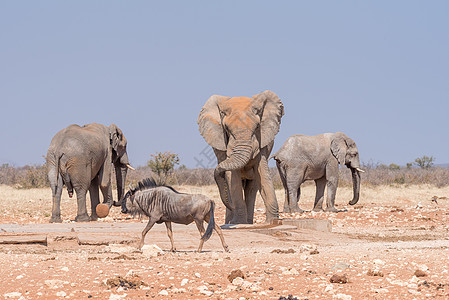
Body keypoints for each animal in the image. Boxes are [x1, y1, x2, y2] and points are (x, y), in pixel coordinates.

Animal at [197, 90, 284, 224]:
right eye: (226, 128)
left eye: (257, 127)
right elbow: (232, 179)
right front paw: (238, 223)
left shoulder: (262, 142)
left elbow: (263, 174)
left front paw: (272, 223)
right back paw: (231, 222)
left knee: (251, 188)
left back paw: (247, 222)